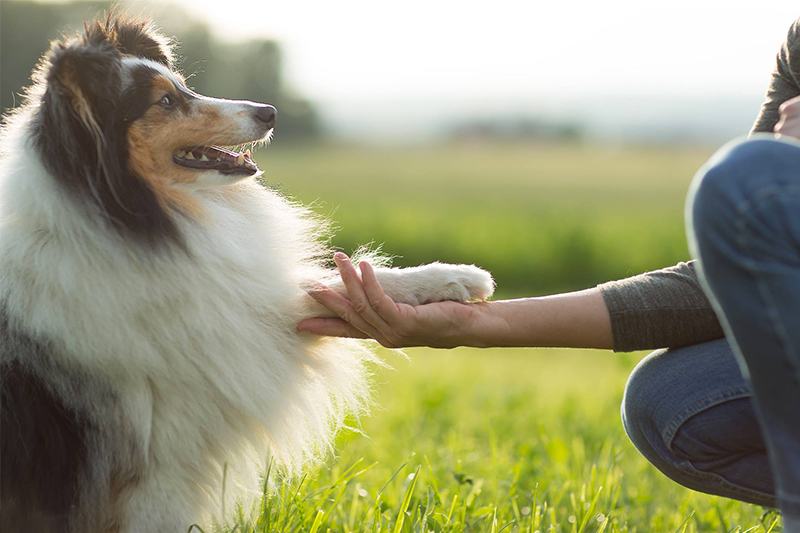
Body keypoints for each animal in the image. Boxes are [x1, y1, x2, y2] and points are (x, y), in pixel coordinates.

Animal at [0, 12, 494, 532]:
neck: (124, 222)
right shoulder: (158, 459)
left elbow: (324, 285)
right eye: (166, 101)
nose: (269, 111)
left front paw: (456, 278)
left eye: (182, 85)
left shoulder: (233, 309)